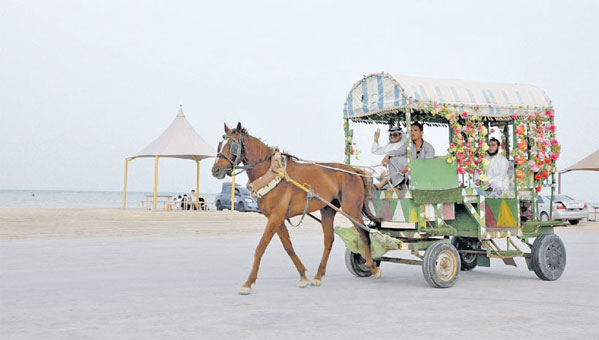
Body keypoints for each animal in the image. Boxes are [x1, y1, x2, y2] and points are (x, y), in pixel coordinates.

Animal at [211, 123, 380, 294]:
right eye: (220, 145)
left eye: (232, 146)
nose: (215, 170)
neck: (272, 173)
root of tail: (353, 170)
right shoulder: (277, 218)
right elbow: (288, 247)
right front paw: (303, 276)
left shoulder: (275, 217)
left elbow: (260, 247)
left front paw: (248, 282)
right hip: (328, 210)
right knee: (329, 240)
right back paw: (318, 275)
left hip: (351, 209)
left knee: (364, 234)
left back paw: (372, 266)